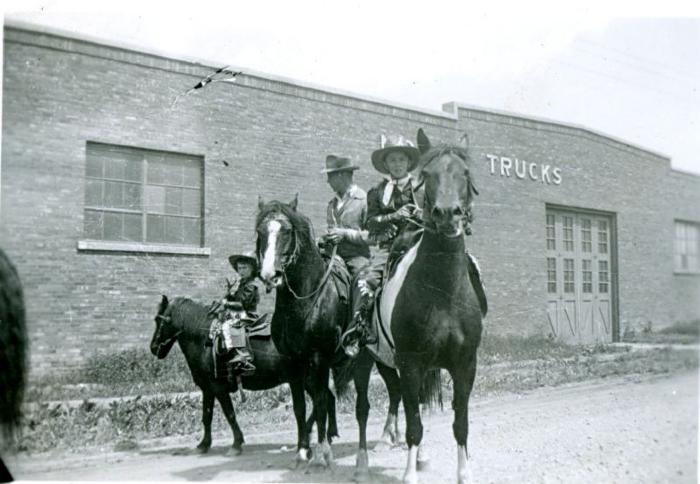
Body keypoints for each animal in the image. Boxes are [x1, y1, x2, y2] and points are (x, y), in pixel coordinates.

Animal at [150, 294, 340, 458]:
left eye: (159, 320)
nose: (153, 348)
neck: (204, 339)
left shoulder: (218, 388)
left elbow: (229, 414)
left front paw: (236, 444)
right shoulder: (207, 389)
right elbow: (207, 416)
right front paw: (203, 445)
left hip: (306, 379)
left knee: (321, 401)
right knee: (326, 398)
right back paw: (327, 435)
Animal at [382, 130, 486, 484]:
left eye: (465, 173)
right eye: (426, 174)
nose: (447, 214)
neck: (443, 292)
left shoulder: (465, 364)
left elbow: (461, 423)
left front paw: (465, 473)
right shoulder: (410, 362)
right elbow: (414, 424)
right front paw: (409, 475)